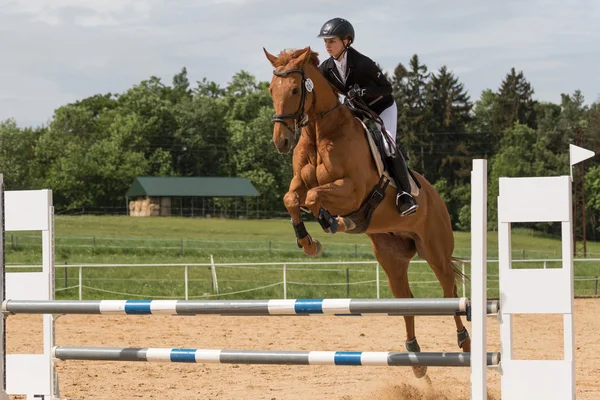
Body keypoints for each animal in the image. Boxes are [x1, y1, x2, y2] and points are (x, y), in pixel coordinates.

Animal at [264, 47, 472, 378]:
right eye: (272, 89)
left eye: (295, 90)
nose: (281, 141)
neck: (321, 132)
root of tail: (435, 196)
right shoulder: (299, 182)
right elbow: (292, 198)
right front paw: (309, 243)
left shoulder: (352, 191)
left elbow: (313, 197)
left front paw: (331, 222)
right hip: (391, 256)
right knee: (405, 300)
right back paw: (415, 357)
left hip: (435, 250)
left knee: (449, 292)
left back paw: (464, 341)